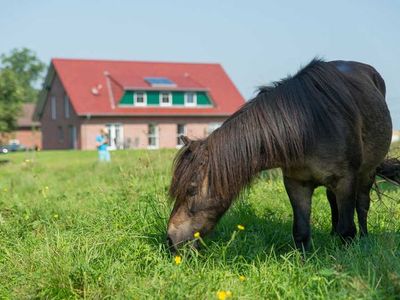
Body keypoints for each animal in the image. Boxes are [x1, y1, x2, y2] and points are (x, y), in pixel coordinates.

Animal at [166, 58, 396, 251]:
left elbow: (347, 230)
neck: (309, 125)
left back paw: (364, 239)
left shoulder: (346, 180)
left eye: (191, 189)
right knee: (333, 202)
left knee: (362, 204)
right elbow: (301, 231)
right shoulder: (296, 183)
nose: (170, 239)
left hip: (367, 173)